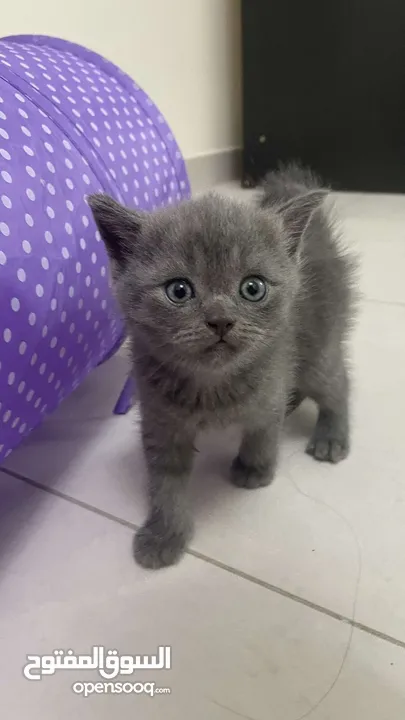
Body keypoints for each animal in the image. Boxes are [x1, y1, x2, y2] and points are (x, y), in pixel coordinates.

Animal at [90, 166, 356, 572]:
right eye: (179, 290)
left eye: (253, 288)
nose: (220, 320)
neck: (211, 387)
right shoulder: (160, 420)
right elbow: (165, 481)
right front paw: (164, 534)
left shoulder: (271, 386)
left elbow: (263, 432)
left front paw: (254, 470)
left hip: (317, 351)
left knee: (338, 383)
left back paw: (331, 436)